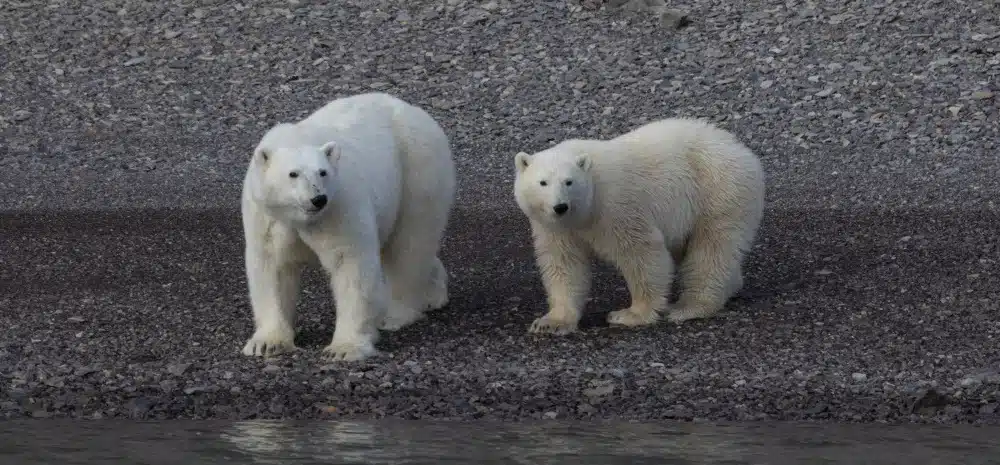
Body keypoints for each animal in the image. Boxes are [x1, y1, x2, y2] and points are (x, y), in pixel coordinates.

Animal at [240, 92, 458, 360]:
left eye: (322, 172)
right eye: (293, 174)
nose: (318, 198)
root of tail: (416, 111)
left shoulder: (340, 205)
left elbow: (350, 262)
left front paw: (344, 348)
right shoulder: (268, 217)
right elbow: (273, 266)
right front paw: (266, 343)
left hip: (417, 170)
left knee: (409, 246)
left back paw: (395, 314)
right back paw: (433, 295)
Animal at [516, 116, 764, 334]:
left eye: (569, 182)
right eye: (543, 182)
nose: (560, 206)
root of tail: (742, 150)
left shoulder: (617, 205)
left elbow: (641, 253)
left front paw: (630, 314)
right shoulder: (555, 228)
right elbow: (564, 263)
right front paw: (551, 323)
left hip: (718, 190)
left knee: (711, 249)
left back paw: (688, 307)